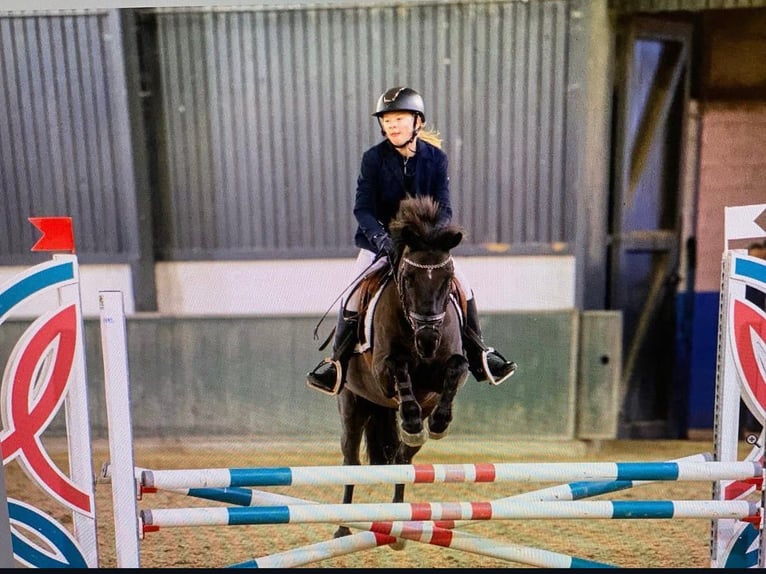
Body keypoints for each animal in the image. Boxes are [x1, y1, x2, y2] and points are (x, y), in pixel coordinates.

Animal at [334, 195, 470, 539]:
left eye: (447, 278)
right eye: (408, 279)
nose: (428, 340)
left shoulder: (443, 374)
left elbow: (455, 368)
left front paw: (439, 422)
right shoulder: (384, 372)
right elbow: (399, 370)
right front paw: (410, 420)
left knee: (402, 458)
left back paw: (401, 519)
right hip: (354, 405)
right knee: (351, 461)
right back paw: (342, 527)